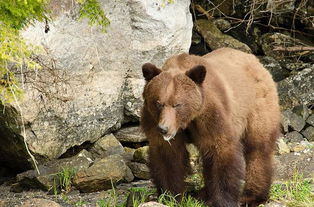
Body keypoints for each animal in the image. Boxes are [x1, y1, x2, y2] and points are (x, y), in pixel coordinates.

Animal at [140, 47, 280, 207]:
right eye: (158, 103)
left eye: (177, 104)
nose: (164, 128)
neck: (188, 120)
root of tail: (255, 60)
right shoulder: (154, 120)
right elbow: (167, 157)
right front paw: (170, 195)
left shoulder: (211, 115)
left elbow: (221, 151)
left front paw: (223, 200)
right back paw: (203, 194)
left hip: (256, 104)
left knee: (258, 147)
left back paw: (252, 196)